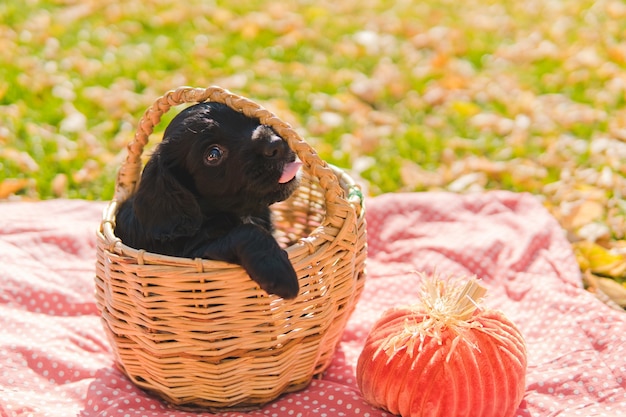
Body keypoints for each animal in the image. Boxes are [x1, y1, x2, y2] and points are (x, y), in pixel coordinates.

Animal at [116, 103, 304, 300]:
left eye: (253, 120)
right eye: (213, 154)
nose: (275, 144)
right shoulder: (193, 256)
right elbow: (247, 231)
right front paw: (277, 270)